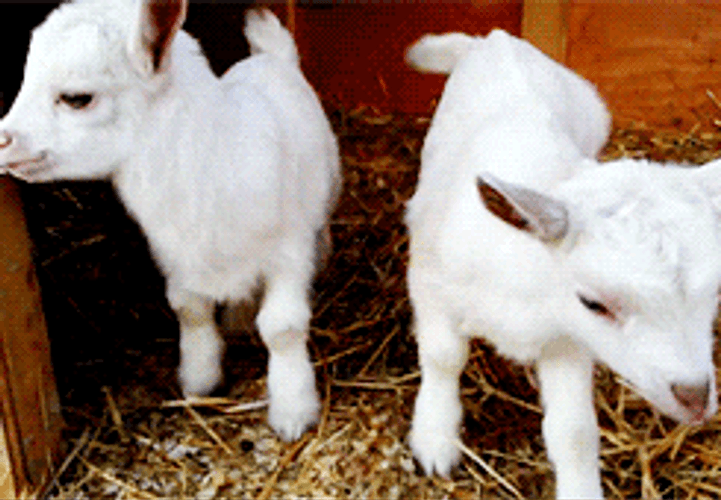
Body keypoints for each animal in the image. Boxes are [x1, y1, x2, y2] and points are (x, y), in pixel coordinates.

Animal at [0, 0, 340, 442]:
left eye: (76, 98)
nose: (3, 141)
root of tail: (271, 57)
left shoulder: (288, 253)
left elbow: (282, 328)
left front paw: (293, 411)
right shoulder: (177, 256)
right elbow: (189, 309)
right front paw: (200, 379)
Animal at [405, 29, 721, 498]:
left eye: (715, 293)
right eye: (594, 303)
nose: (696, 397)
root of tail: (495, 39)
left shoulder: (566, 340)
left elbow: (574, 432)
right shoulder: (429, 283)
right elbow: (444, 357)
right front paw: (434, 439)